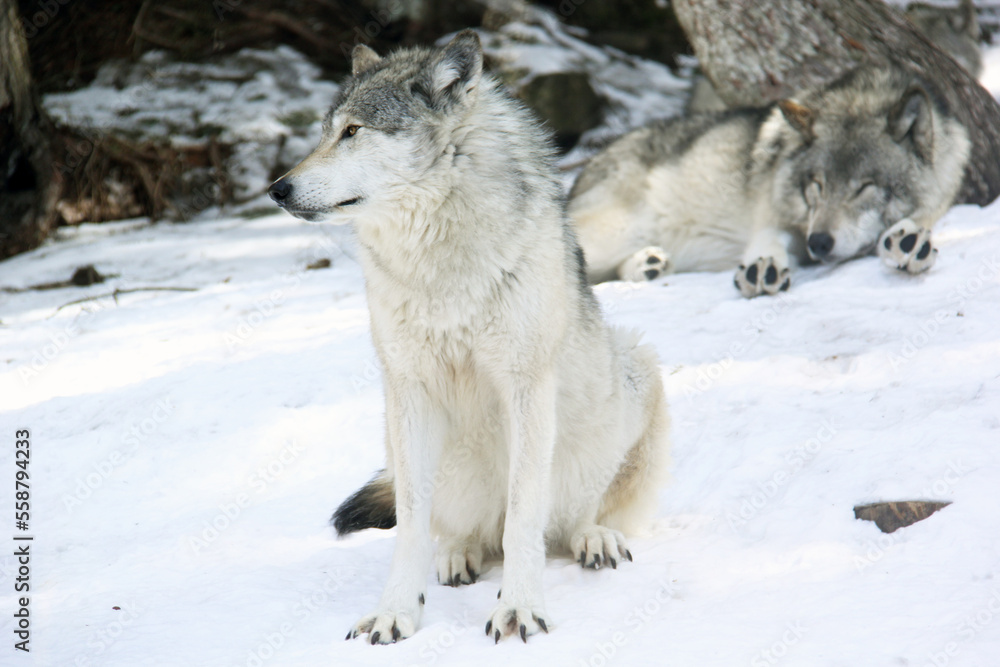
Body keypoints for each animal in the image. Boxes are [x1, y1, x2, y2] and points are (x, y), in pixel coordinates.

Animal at [268, 31, 670, 644]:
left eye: (353, 131)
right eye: (323, 133)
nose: (277, 189)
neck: (439, 263)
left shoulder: (526, 387)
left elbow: (525, 515)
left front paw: (520, 608)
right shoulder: (409, 388)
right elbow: (411, 522)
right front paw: (396, 612)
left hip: (634, 372)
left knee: (572, 517)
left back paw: (594, 539)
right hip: (405, 439)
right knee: (465, 531)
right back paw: (458, 556)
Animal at [570, 66, 971, 298]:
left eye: (864, 186)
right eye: (817, 184)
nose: (819, 242)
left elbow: (918, 221)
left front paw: (908, 241)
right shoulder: (779, 218)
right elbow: (770, 238)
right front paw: (763, 265)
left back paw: (649, 264)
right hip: (616, 230)